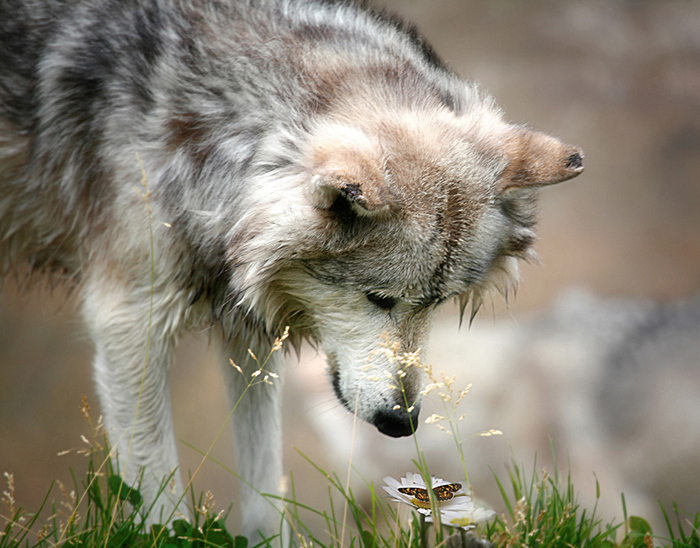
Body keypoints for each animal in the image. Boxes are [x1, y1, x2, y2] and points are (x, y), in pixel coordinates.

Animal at [0, 0, 584, 540]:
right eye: (379, 298)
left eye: (436, 302)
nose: (403, 423)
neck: (217, 135)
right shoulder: (128, 325)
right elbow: (160, 503)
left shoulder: (250, 333)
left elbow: (264, 491)